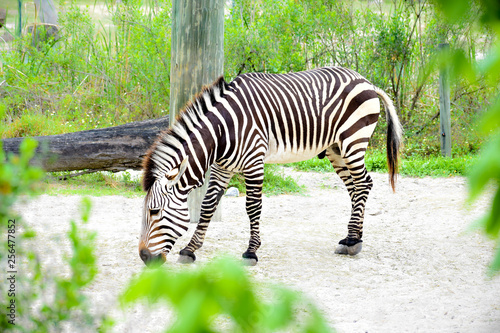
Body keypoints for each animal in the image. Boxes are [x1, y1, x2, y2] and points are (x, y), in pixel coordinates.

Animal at [140, 66, 402, 266]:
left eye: (155, 212)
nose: (144, 257)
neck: (222, 132)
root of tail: (367, 82)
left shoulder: (254, 162)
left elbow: (253, 207)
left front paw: (251, 252)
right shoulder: (222, 167)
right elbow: (207, 205)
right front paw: (190, 249)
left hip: (353, 141)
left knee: (364, 183)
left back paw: (354, 242)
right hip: (335, 149)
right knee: (355, 188)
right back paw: (350, 238)